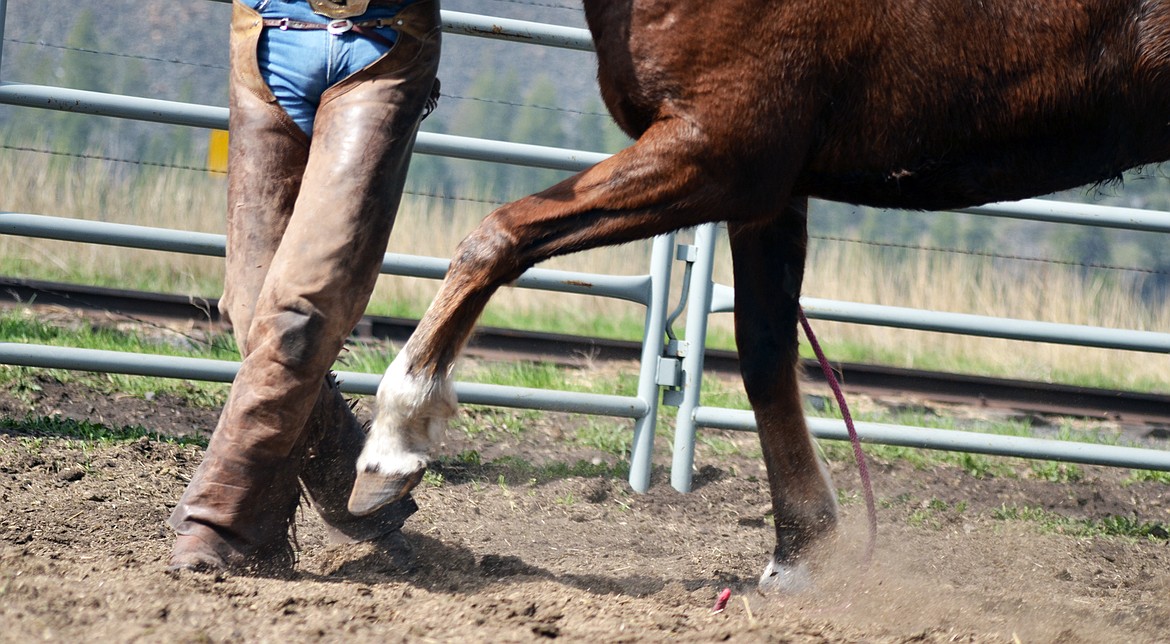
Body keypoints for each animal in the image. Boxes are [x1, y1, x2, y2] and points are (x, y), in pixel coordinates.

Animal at [351, 1, 1170, 594]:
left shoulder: (722, 153)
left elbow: (496, 238)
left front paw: (393, 443)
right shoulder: (768, 194)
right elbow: (765, 352)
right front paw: (802, 549)